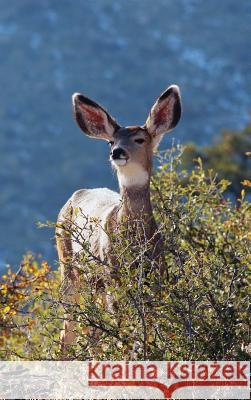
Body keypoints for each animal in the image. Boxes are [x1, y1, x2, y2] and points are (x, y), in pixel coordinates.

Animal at [56, 85, 181, 350]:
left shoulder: (156, 278)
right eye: (111, 141)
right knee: (68, 329)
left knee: (90, 329)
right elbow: (122, 332)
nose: (117, 152)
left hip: (95, 282)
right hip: (69, 265)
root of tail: (76, 194)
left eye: (139, 139)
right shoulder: (114, 274)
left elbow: (147, 331)